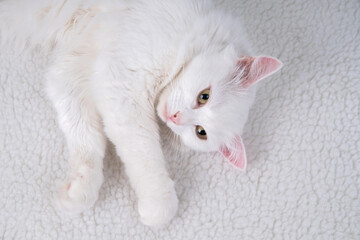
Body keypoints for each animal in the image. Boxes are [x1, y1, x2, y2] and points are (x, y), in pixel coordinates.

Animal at [0, 0, 282, 227]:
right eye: (205, 96)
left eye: (200, 132)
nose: (175, 117)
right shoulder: (122, 86)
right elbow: (145, 155)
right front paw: (159, 205)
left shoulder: (73, 75)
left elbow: (86, 140)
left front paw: (77, 191)